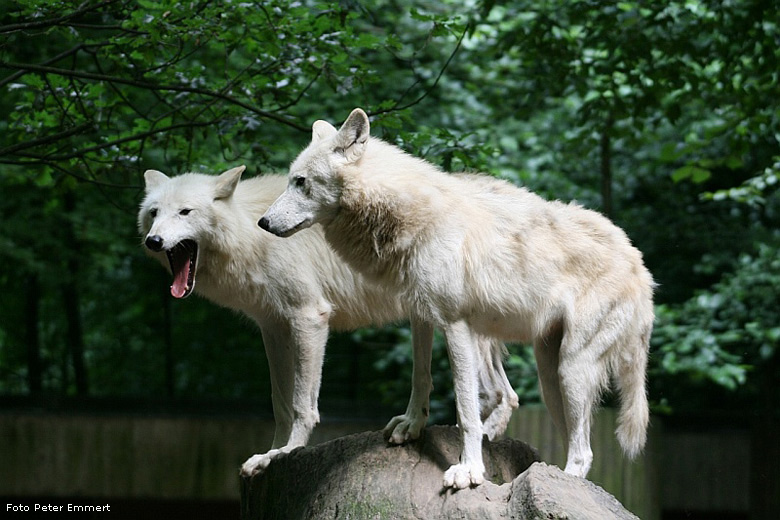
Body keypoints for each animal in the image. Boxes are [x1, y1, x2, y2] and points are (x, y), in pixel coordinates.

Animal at [138, 169, 520, 478]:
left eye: (185, 212)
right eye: (154, 213)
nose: (152, 241)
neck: (248, 232)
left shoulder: (309, 317)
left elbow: (301, 404)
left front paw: (287, 452)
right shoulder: (272, 327)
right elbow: (279, 403)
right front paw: (269, 452)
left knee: (499, 392)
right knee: (504, 393)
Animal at [258, 107, 656, 490]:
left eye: (300, 182)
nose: (262, 223)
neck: (411, 218)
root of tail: (641, 268)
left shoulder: (456, 324)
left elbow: (465, 409)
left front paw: (469, 471)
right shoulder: (420, 314)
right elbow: (421, 377)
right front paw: (411, 425)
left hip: (571, 369)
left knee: (584, 451)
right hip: (550, 376)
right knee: (571, 438)